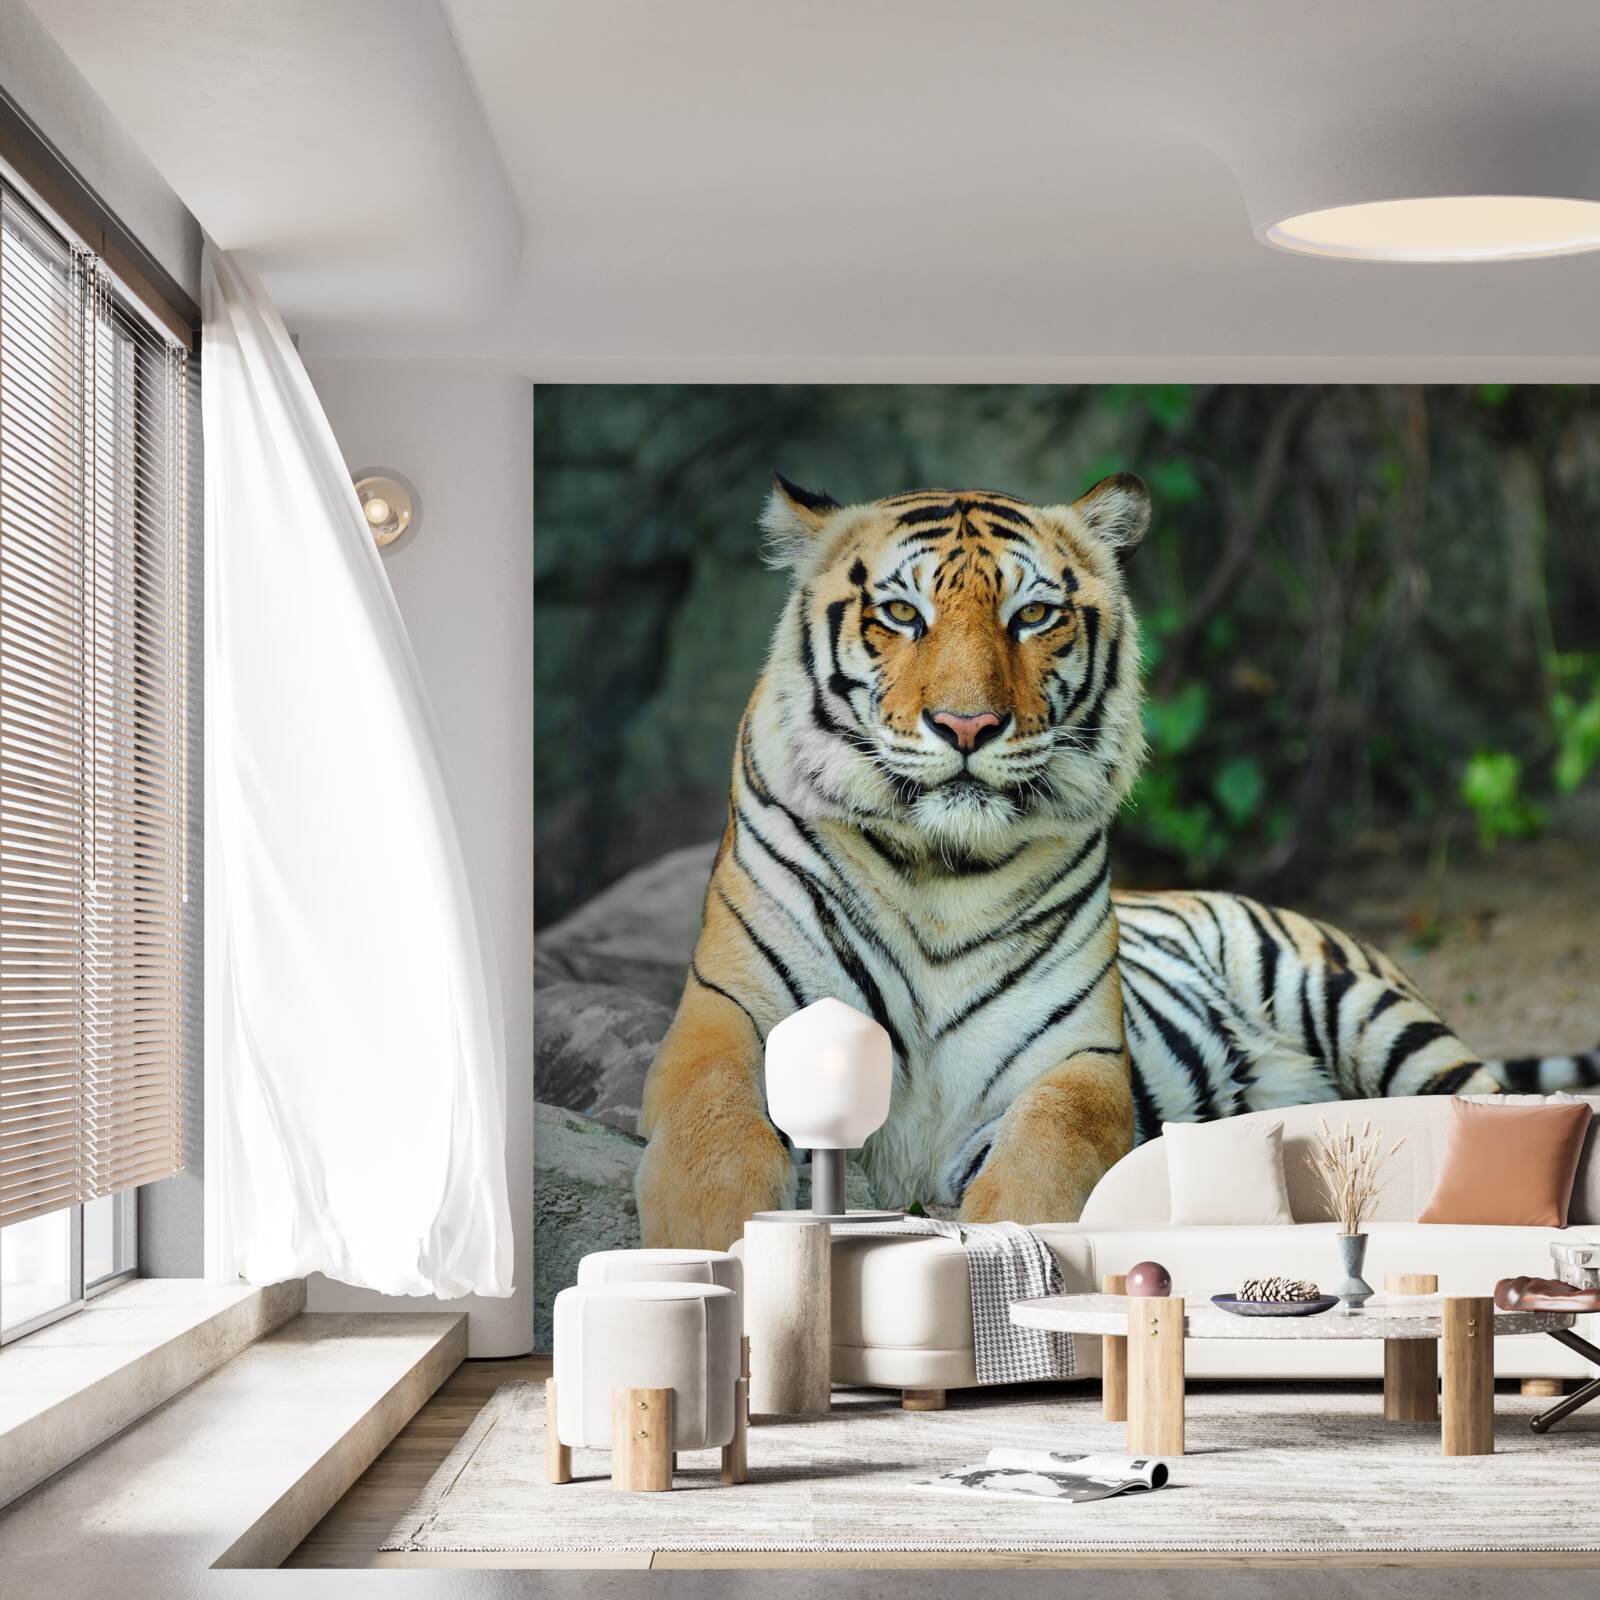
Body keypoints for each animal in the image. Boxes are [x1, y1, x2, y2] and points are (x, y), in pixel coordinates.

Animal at [635, 472, 1599, 1250]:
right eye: (902, 613)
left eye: (1033, 615)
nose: (967, 726)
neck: (938, 871)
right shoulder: (727, 1011)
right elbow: (710, 1133)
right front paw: (720, 1258)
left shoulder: (1075, 1059)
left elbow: (1046, 1159)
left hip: (1366, 1009)